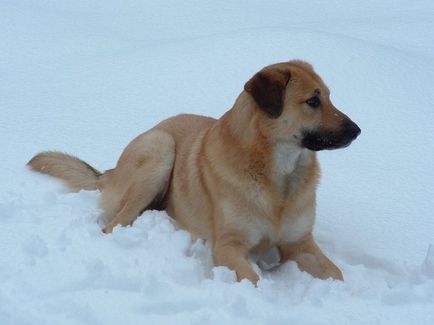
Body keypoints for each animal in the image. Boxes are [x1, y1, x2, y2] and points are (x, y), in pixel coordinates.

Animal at [27, 59, 360, 282]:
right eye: (313, 101)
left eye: (329, 97)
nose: (357, 130)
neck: (278, 177)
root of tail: (111, 170)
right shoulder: (228, 246)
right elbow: (252, 280)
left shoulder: (300, 244)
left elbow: (337, 274)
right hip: (160, 149)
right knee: (112, 226)